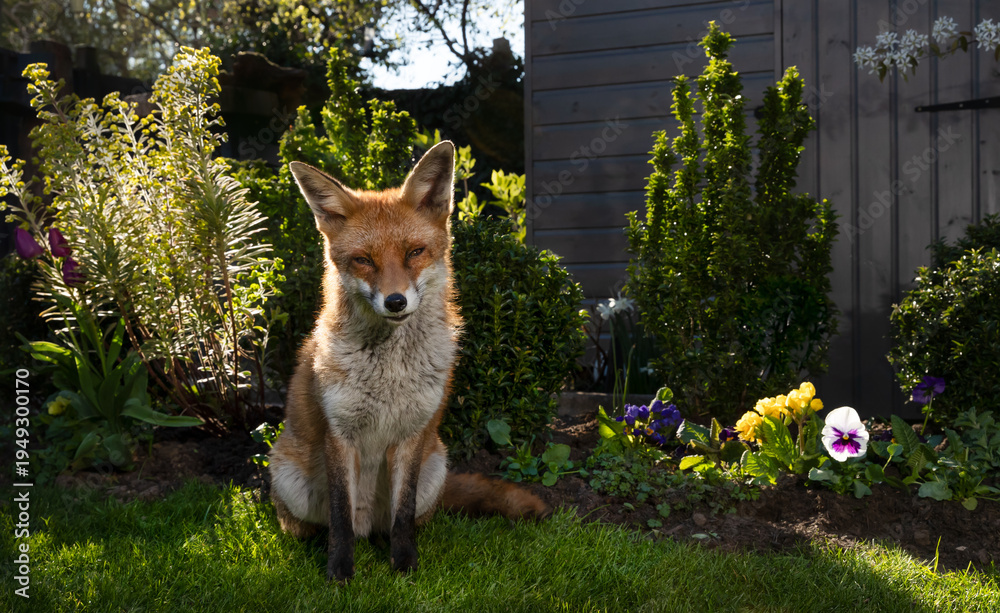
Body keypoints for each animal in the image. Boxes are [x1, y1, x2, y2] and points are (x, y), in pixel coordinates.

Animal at [268, 141, 549, 583]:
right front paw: (339, 574)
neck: (390, 373)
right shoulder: (339, 434)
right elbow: (340, 519)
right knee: (318, 525)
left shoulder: (412, 434)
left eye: (415, 252)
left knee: (400, 520)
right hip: (288, 479)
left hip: (436, 466)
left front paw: (404, 568)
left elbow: (402, 515)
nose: (395, 301)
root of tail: (369, 525)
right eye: (364, 260)